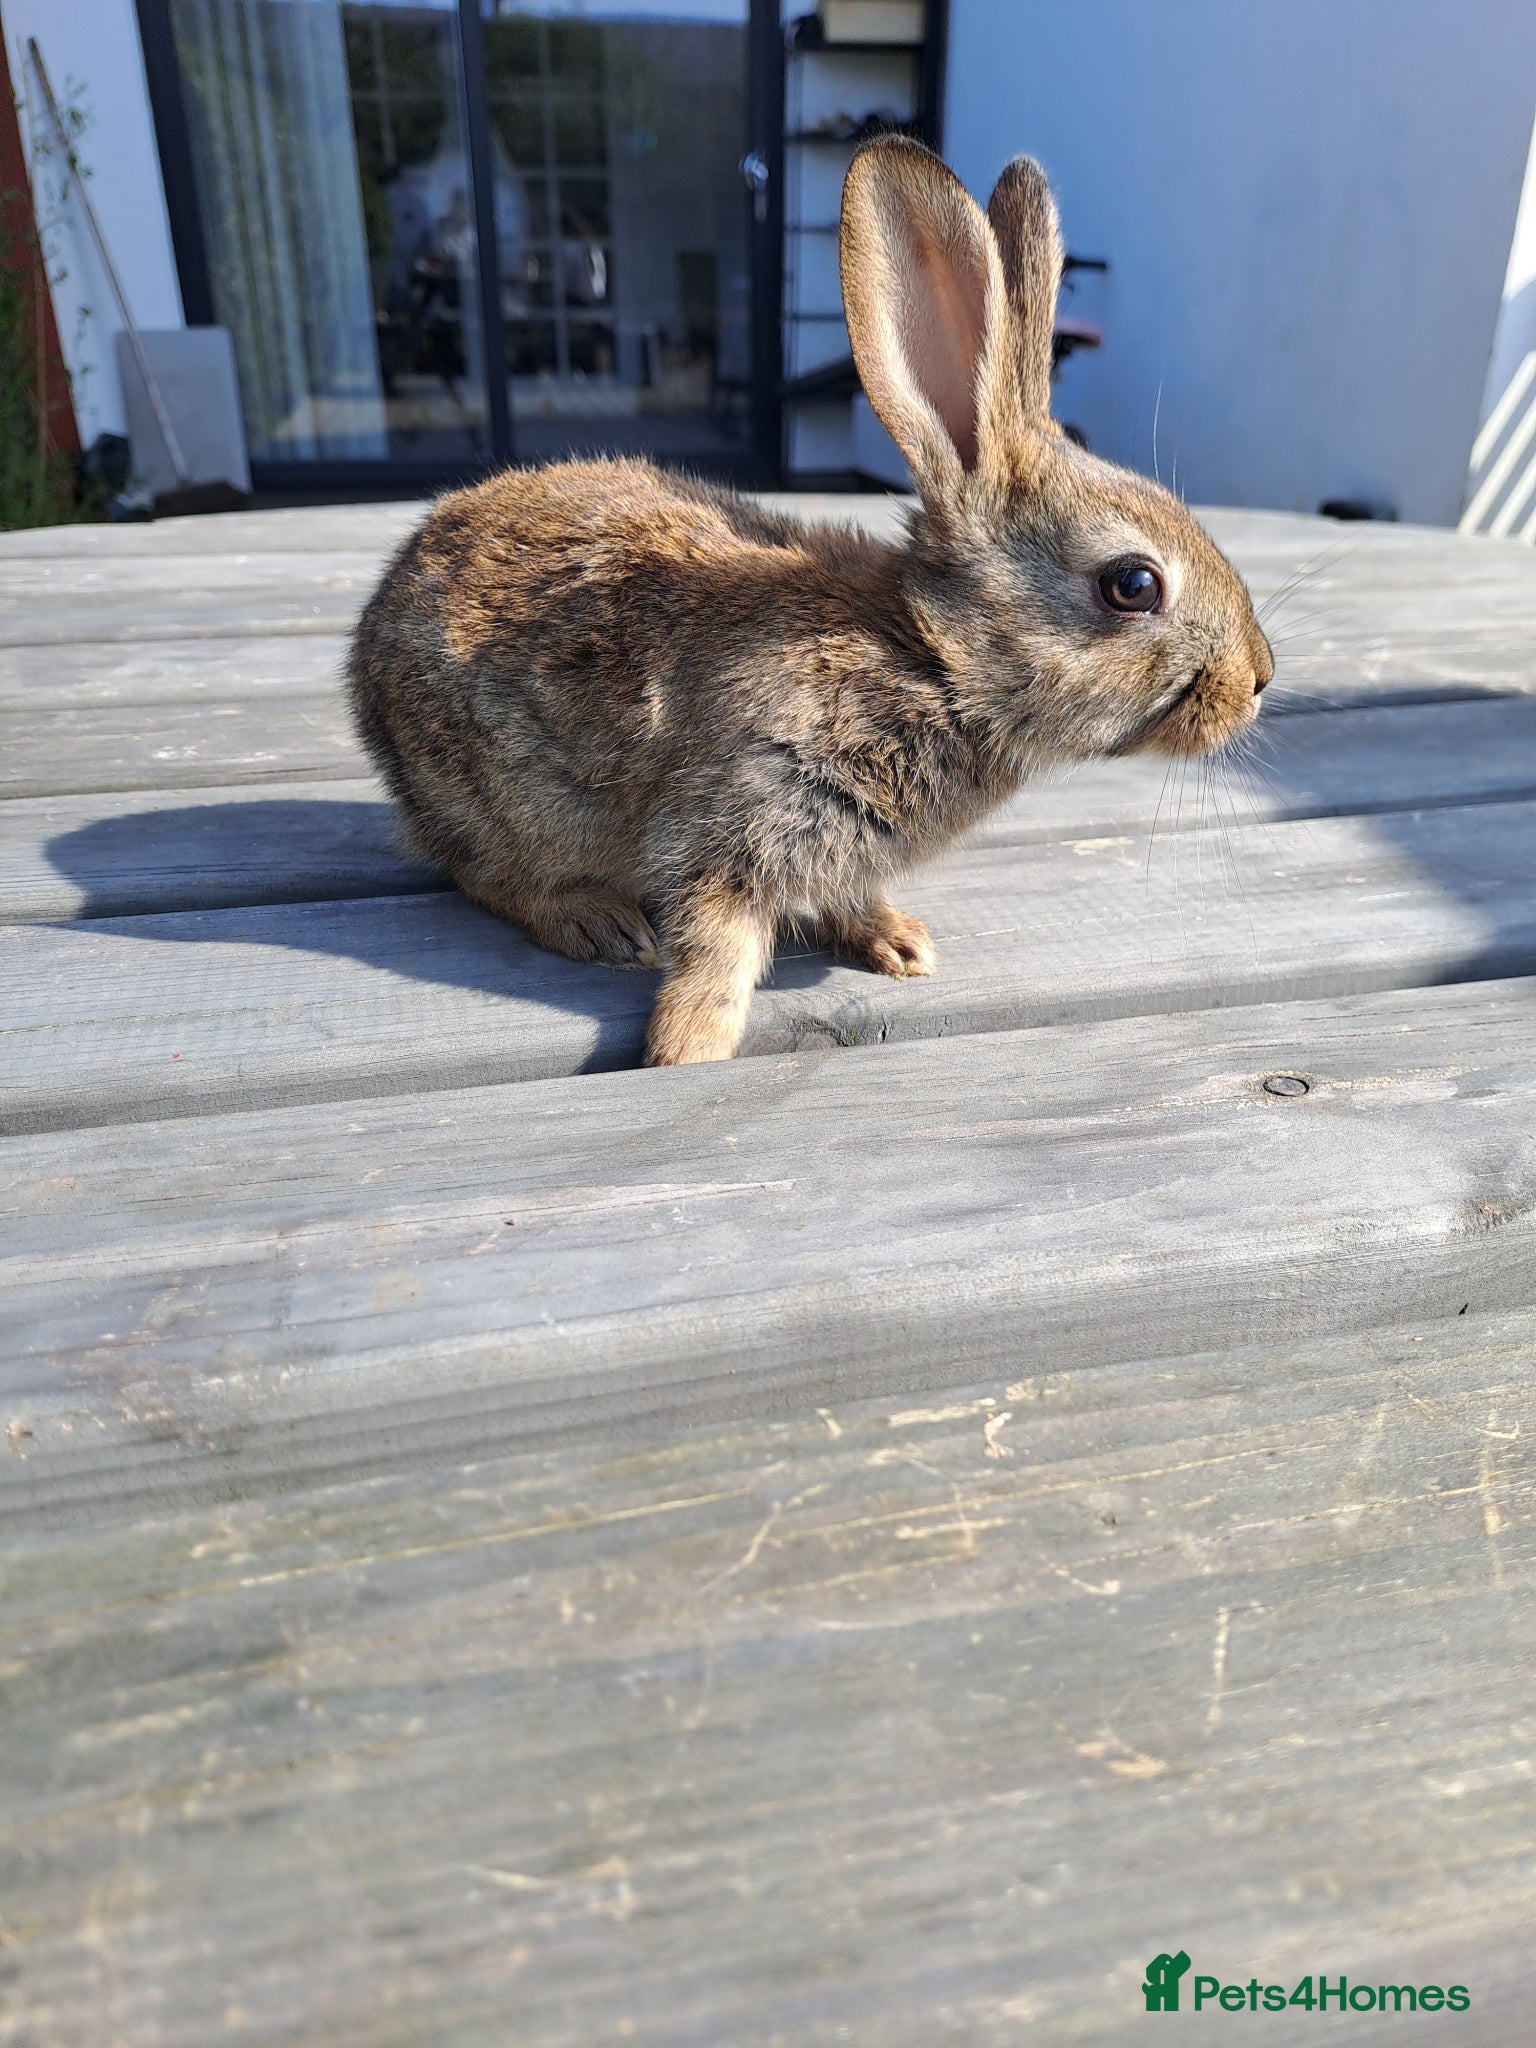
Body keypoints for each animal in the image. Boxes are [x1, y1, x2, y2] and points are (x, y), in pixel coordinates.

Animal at [349, 136, 1273, 1067]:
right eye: (1133, 585)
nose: (1258, 679)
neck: (929, 659)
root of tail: (370, 639)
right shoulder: (732, 822)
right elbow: (715, 946)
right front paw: (688, 1048)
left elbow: (840, 900)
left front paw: (897, 941)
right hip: (489, 798)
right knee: (485, 872)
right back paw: (596, 922)